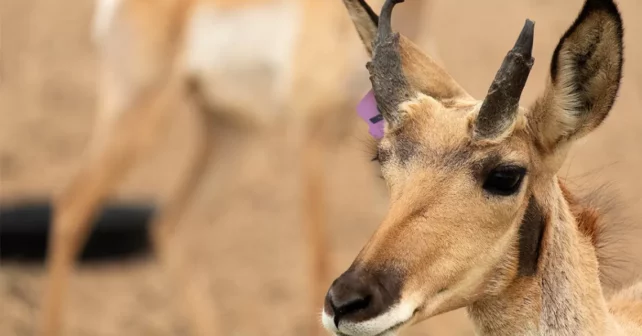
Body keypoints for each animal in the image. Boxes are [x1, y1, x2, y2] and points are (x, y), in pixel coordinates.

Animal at [38, 0, 440, 336]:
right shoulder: (309, 140)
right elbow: (319, 259)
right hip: (141, 122)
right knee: (72, 209)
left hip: (229, 135)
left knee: (171, 224)